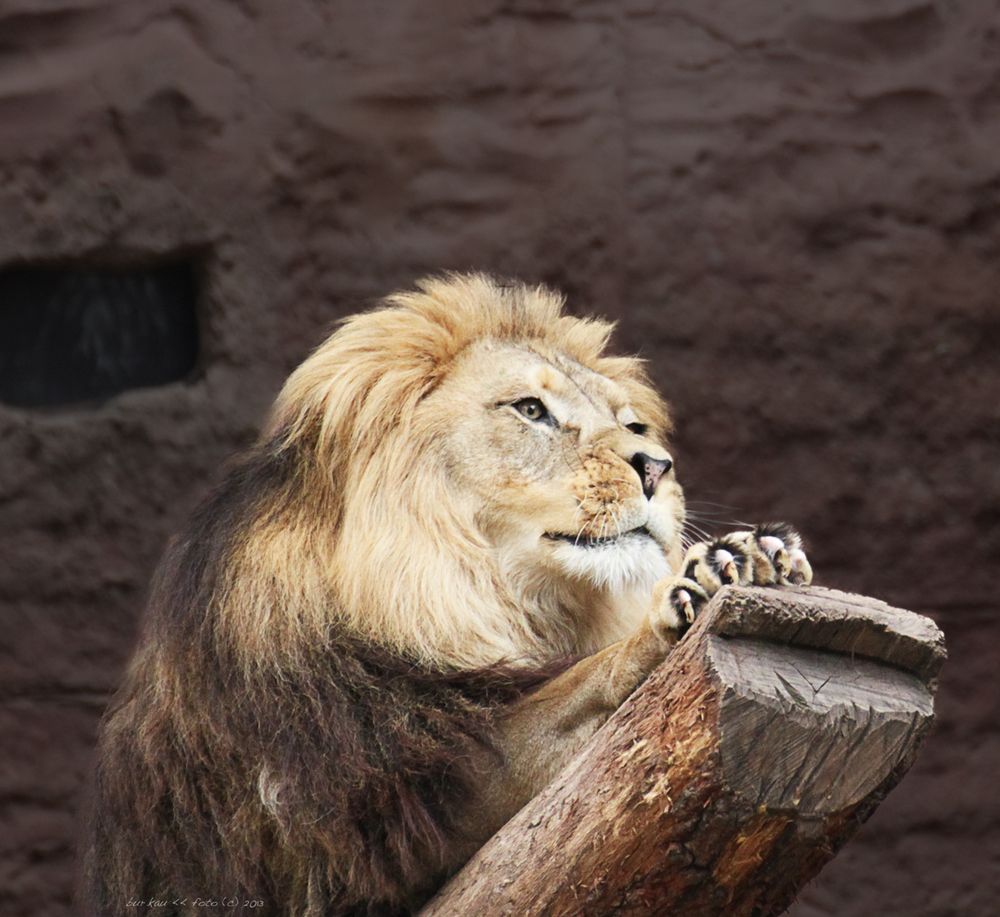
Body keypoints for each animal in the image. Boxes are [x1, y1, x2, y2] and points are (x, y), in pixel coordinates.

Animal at [80, 272, 812, 916]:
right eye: (530, 410)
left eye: (631, 425)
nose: (657, 466)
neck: (488, 597)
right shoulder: (392, 799)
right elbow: (586, 684)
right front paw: (691, 590)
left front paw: (749, 553)